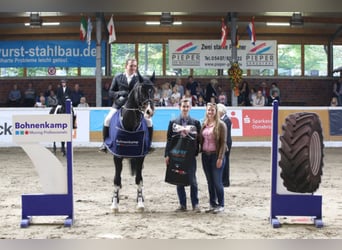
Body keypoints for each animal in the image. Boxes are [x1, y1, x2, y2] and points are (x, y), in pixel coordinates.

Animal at [104, 71, 155, 212]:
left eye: (153, 90)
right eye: (141, 90)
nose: (149, 111)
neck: (130, 124)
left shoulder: (140, 156)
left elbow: (139, 180)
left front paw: (140, 202)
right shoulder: (117, 156)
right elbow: (116, 180)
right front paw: (114, 204)